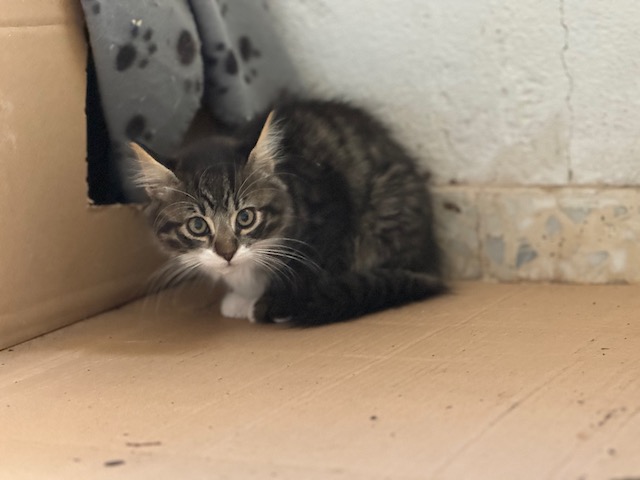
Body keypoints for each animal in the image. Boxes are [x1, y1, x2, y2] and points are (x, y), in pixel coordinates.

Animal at [130, 99, 446, 326]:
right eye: (197, 226)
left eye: (245, 217)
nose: (227, 253)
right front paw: (243, 298)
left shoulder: (331, 208)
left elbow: (313, 268)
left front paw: (271, 303)